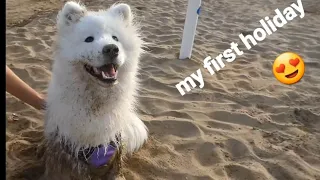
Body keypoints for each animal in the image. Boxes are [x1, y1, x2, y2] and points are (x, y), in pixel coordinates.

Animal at [41, 1, 149, 179]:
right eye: (89, 39)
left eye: (115, 38)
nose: (112, 49)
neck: (96, 102)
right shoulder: (65, 155)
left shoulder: (114, 154)